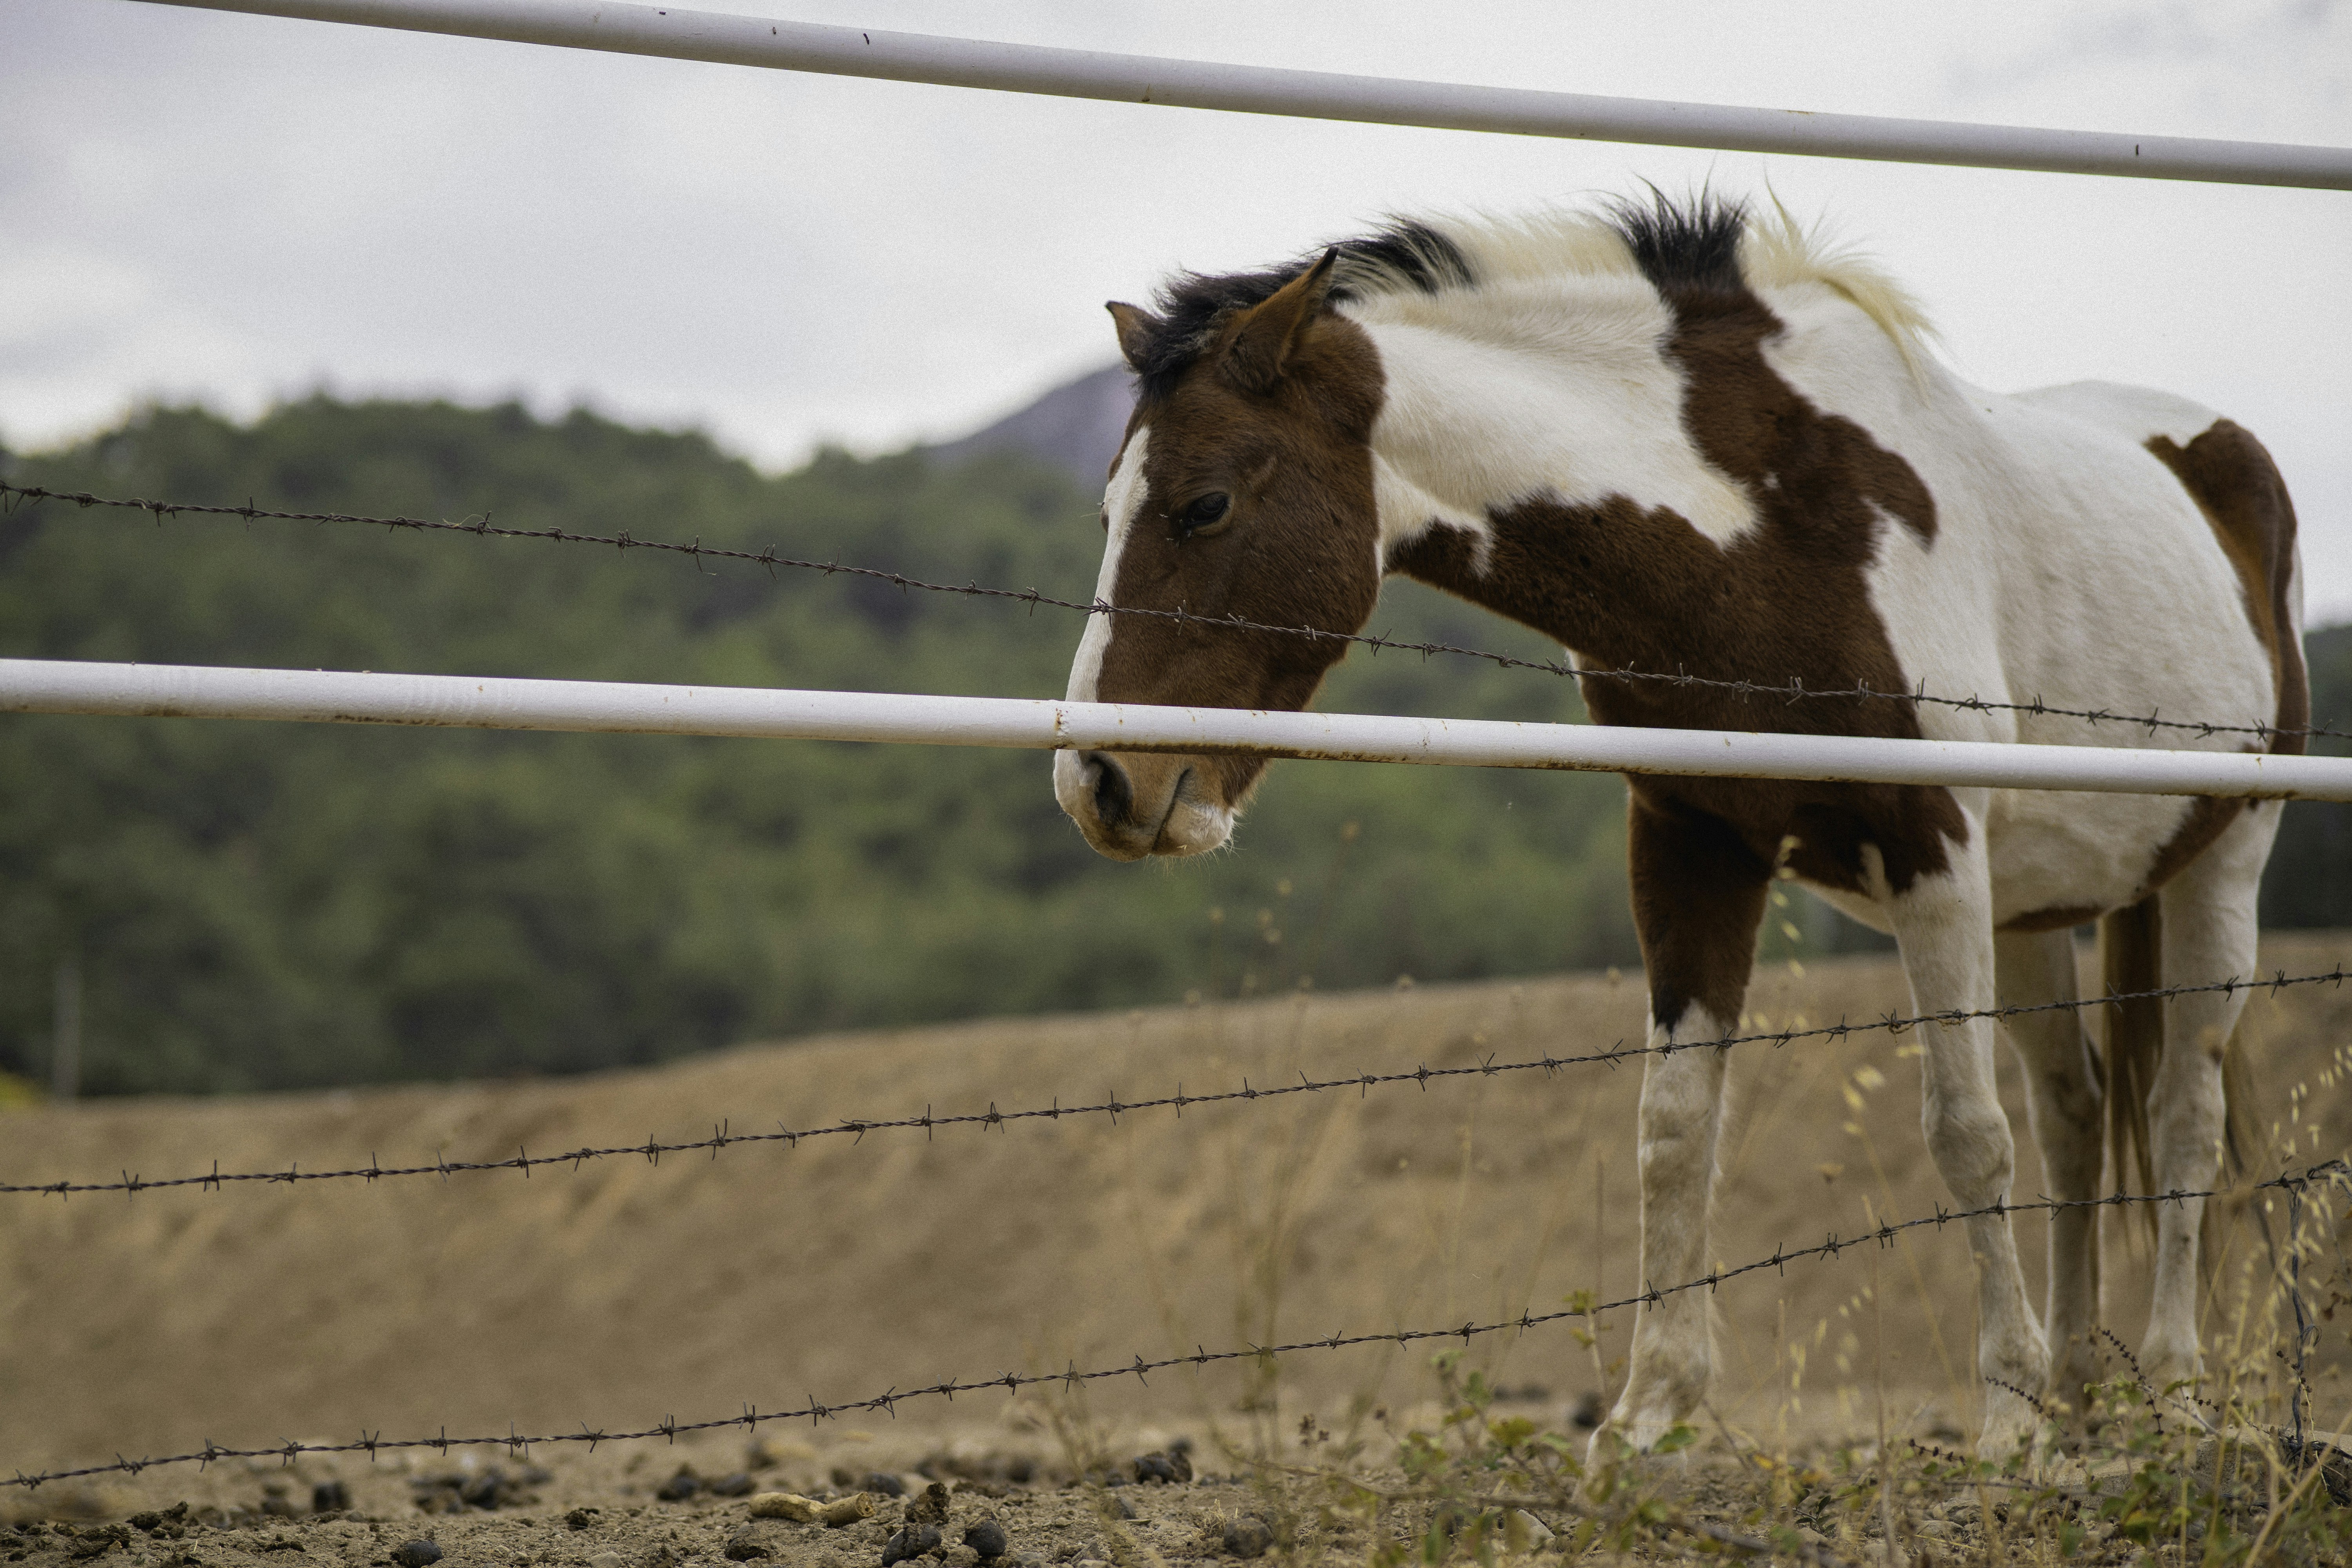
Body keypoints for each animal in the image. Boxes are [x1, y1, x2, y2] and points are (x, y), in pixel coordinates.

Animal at [1049, 192, 2306, 1455]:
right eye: (1104, 508)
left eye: (1205, 504)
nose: (1097, 783)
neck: (1768, 529)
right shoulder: (1691, 841)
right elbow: (1672, 1130)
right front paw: (1651, 1415)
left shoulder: (1932, 848)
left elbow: (1965, 1133)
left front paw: (2003, 1411)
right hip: (2036, 907)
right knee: (2076, 1111)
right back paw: (2083, 1392)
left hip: (2225, 864)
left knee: (2181, 1114)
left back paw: (2169, 1383)